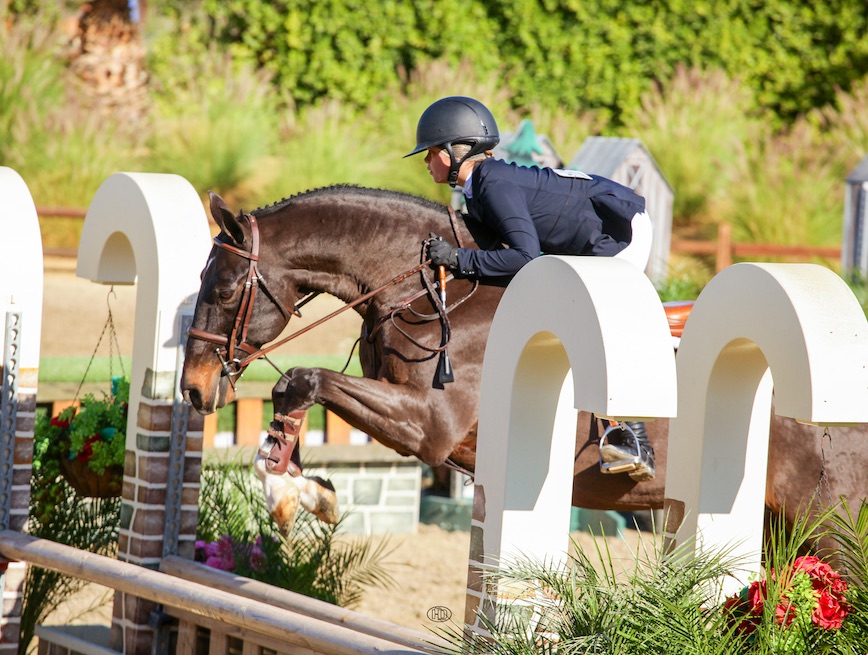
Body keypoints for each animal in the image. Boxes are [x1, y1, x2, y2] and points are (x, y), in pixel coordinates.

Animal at [180, 183, 864, 540]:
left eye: (223, 291)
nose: (192, 389)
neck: (432, 289)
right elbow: (300, 392)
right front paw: (301, 488)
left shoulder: (430, 427)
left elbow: (303, 380)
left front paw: (288, 493)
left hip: (833, 527)